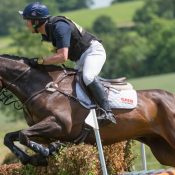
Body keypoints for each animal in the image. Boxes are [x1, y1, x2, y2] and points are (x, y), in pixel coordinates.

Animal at [0, 54, 175, 167]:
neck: (43, 88)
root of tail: (170, 97)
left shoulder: (59, 126)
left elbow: (23, 135)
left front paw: (44, 153)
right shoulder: (45, 133)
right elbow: (11, 137)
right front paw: (33, 158)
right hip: (162, 149)